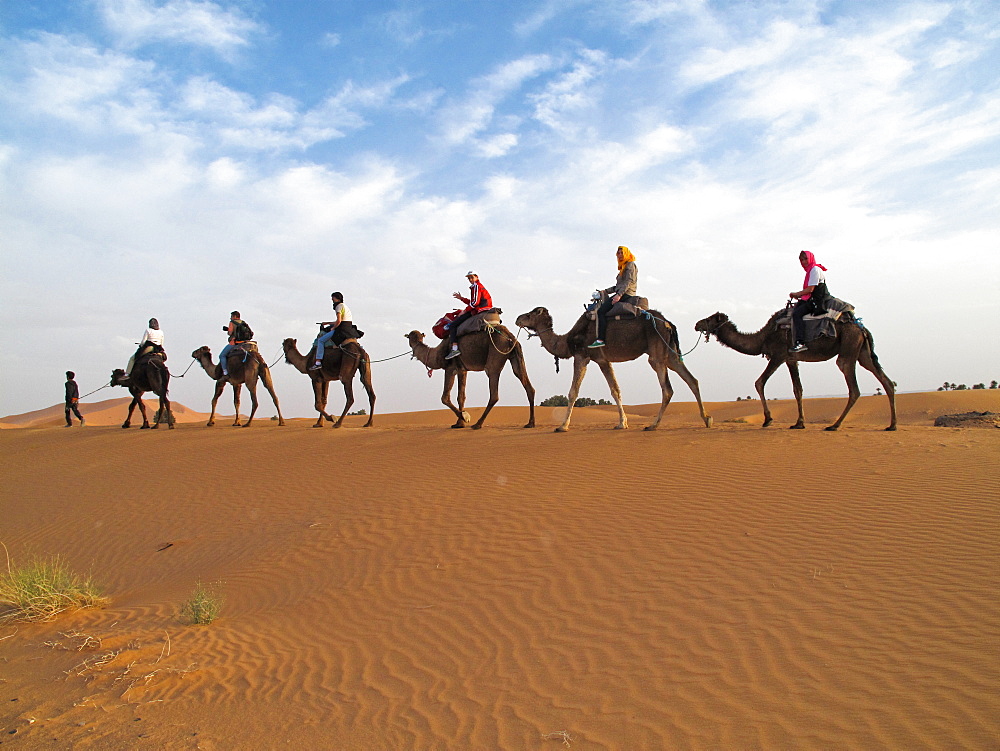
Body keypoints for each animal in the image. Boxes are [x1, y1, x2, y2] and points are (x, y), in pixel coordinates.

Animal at [404, 328, 536, 428]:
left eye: (409, 337)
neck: (437, 353)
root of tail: (510, 337)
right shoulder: (463, 369)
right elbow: (461, 397)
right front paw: (459, 423)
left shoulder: (451, 368)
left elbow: (445, 397)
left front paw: (465, 417)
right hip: (515, 356)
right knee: (527, 385)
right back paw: (530, 423)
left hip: (495, 356)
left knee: (494, 393)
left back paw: (477, 424)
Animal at [516, 306, 712, 434]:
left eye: (530, 313)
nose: (518, 318)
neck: (567, 341)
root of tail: (669, 324)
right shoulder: (604, 360)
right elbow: (615, 389)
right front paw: (622, 423)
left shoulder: (583, 356)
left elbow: (573, 392)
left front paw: (562, 426)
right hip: (670, 354)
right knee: (692, 380)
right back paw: (707, 419)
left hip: (656, 355)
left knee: (668, 389)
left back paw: (652, 425)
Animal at [696, 308, 900, 432]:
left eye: (710, 319)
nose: (697, 324)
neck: (762, 338)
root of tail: (862, 328)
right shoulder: (791, 359)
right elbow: (798, 389)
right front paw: (799, 423)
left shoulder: (779, 355)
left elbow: (759, 382)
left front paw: (768, 420)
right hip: (863, 353)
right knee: (887, 381)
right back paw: (892, 425)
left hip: (848, 348)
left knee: (854, 386)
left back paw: (834, 425)